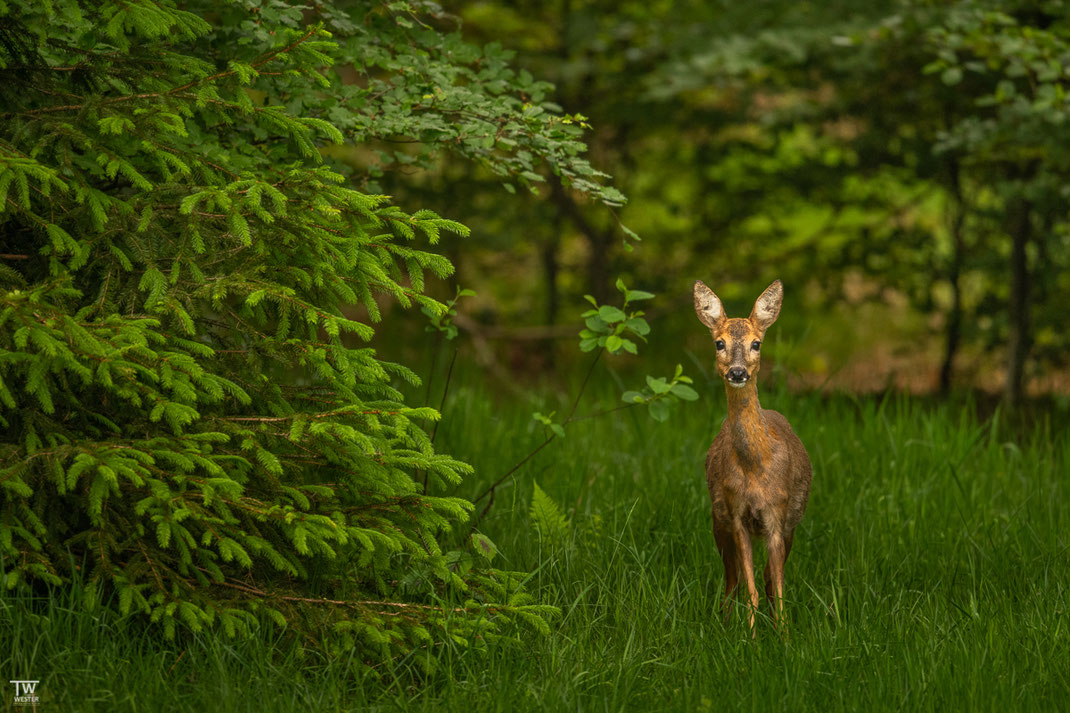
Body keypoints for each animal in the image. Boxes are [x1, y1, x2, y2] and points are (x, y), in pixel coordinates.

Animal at [693, 278, 808, 633]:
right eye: (719, 343)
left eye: (757, 344)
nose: (737, 372)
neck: (756, 466)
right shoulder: (737, 514)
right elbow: (750, 587)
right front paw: (751, 638)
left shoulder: (777, 515)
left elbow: (776, 586)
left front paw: (783, 637)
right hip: (717, 520)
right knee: (733, 580)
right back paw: (725, 620)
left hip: (790, 523)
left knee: (767, 579)